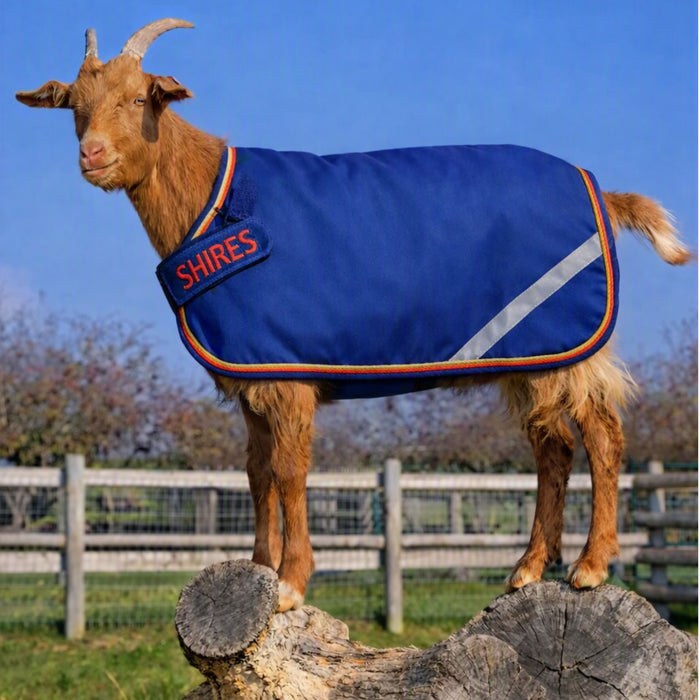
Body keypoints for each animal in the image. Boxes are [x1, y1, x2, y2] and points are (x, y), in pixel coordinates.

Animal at [16, 19, 691, 612]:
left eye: (139, 98)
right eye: (75, 107)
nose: (92, 154)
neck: (213, 203)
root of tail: (602, 192)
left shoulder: (287, 374)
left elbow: (290, 472)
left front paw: (291, 583)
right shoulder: (251, 373)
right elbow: (255, 471)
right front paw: (259, 568)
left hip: (571, 342)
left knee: (602, 434)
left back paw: (590, 566)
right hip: (532, 352)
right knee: (553, 447)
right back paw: (527, 570)